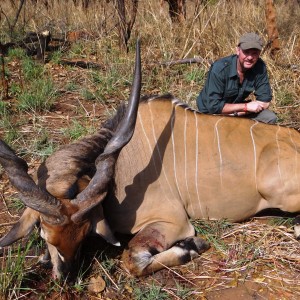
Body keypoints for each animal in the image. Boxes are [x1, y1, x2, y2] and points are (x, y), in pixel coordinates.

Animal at [0, 40, 300, 278]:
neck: (121, 171)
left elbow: (132, 260)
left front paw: (193, 246)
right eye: (43, 232)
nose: (65, 276)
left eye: (85, 232)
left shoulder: (173, 221)